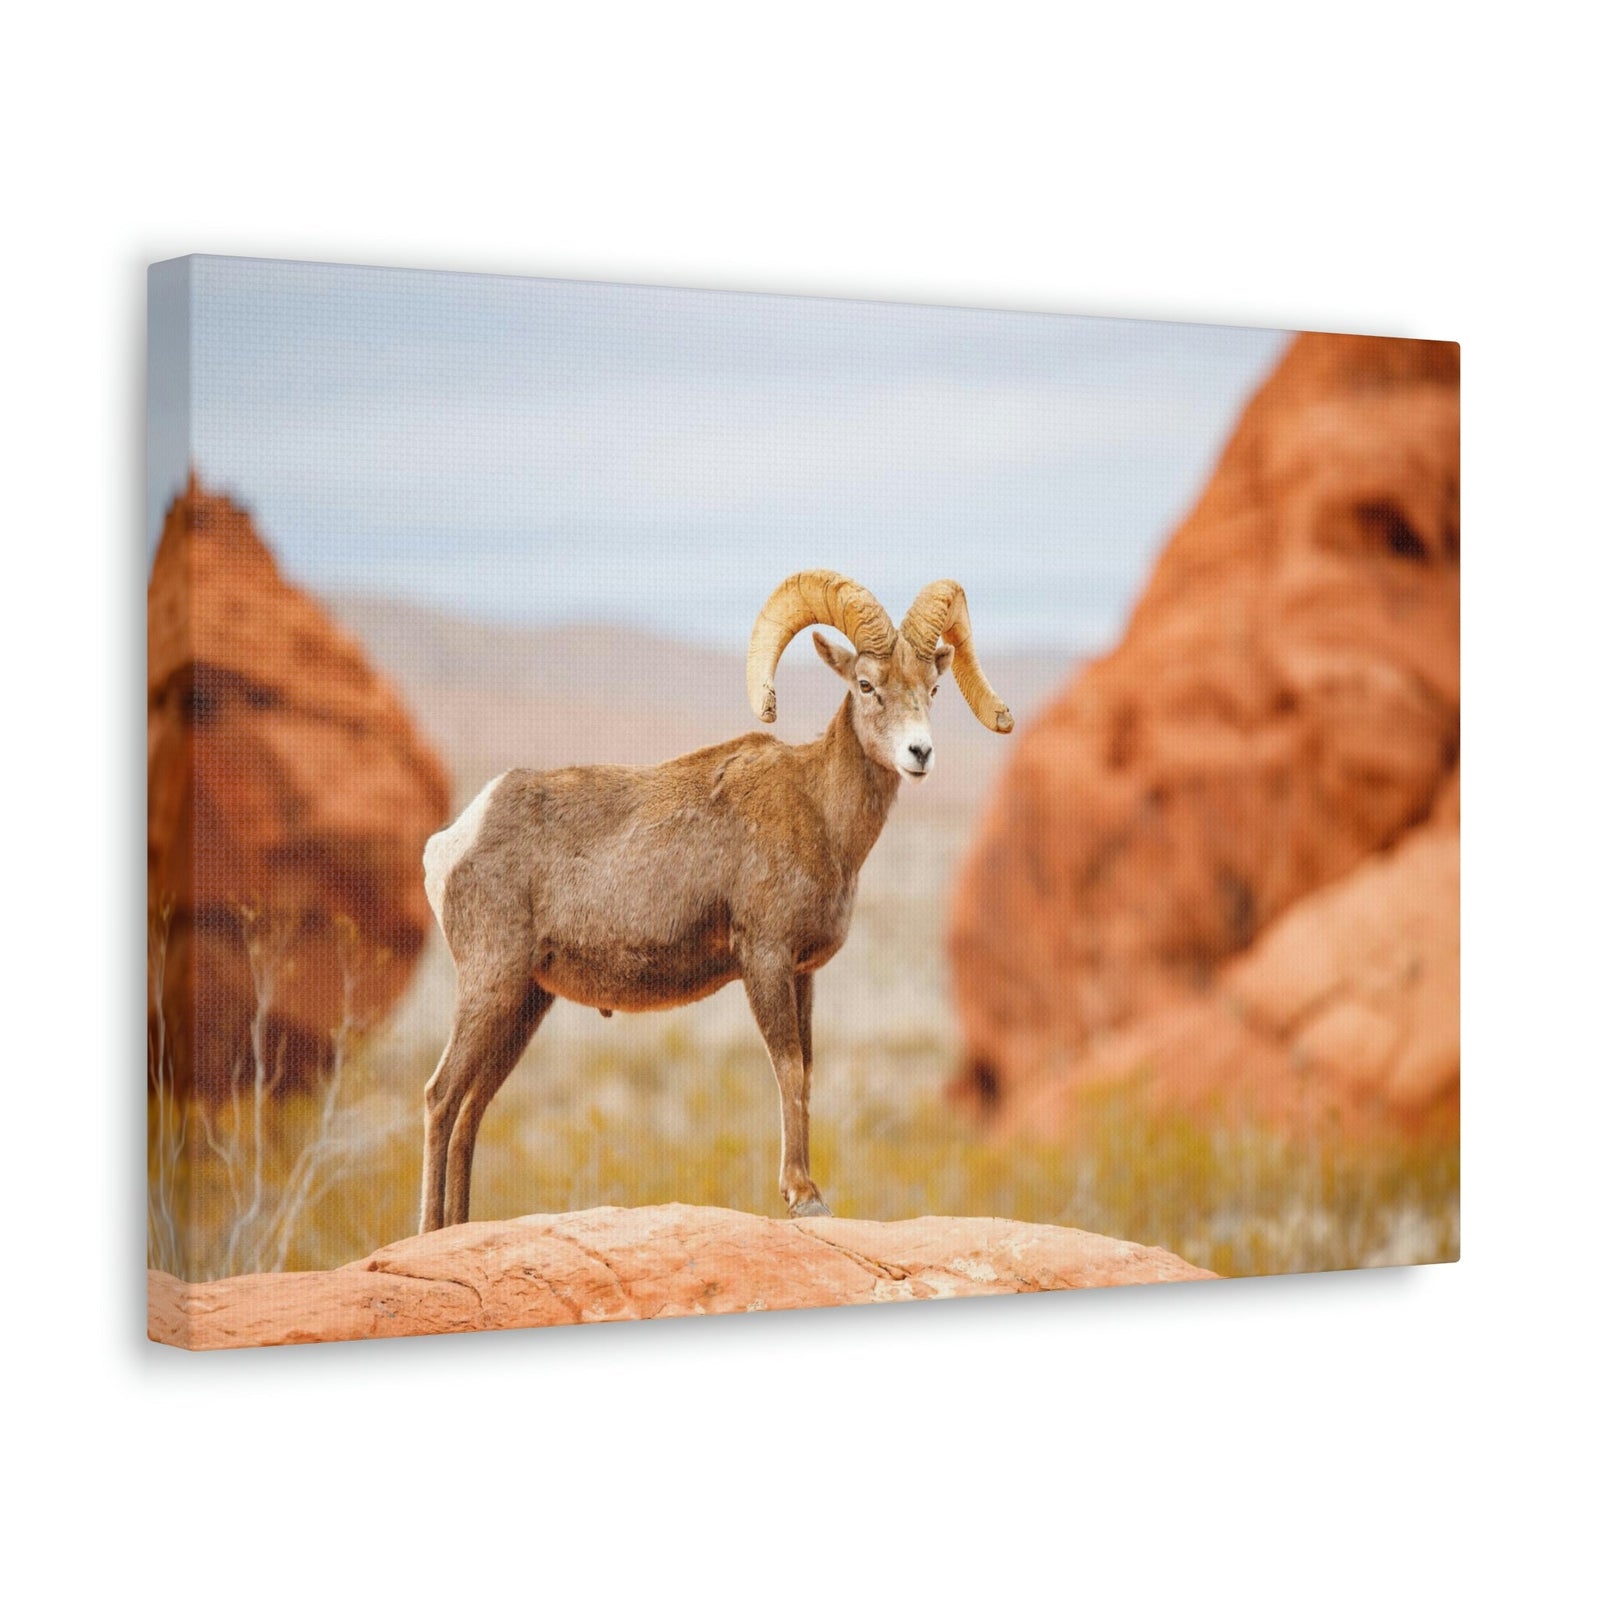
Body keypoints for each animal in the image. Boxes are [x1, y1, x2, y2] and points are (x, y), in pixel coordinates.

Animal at [418, 570, 1013, 1232]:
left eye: (932, 687)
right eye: (866, 685)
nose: (919, 754)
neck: (820, 814)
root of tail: (453, 841)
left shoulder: (802, 973)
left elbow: (807, 1069)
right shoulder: (765, 960)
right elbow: (787, 1066)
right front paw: (804, 1197)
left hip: (524, 1003)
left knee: (472, 1107)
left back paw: (459, 1228)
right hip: (490, 985)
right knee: (442, 1097)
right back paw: (430, 1230)